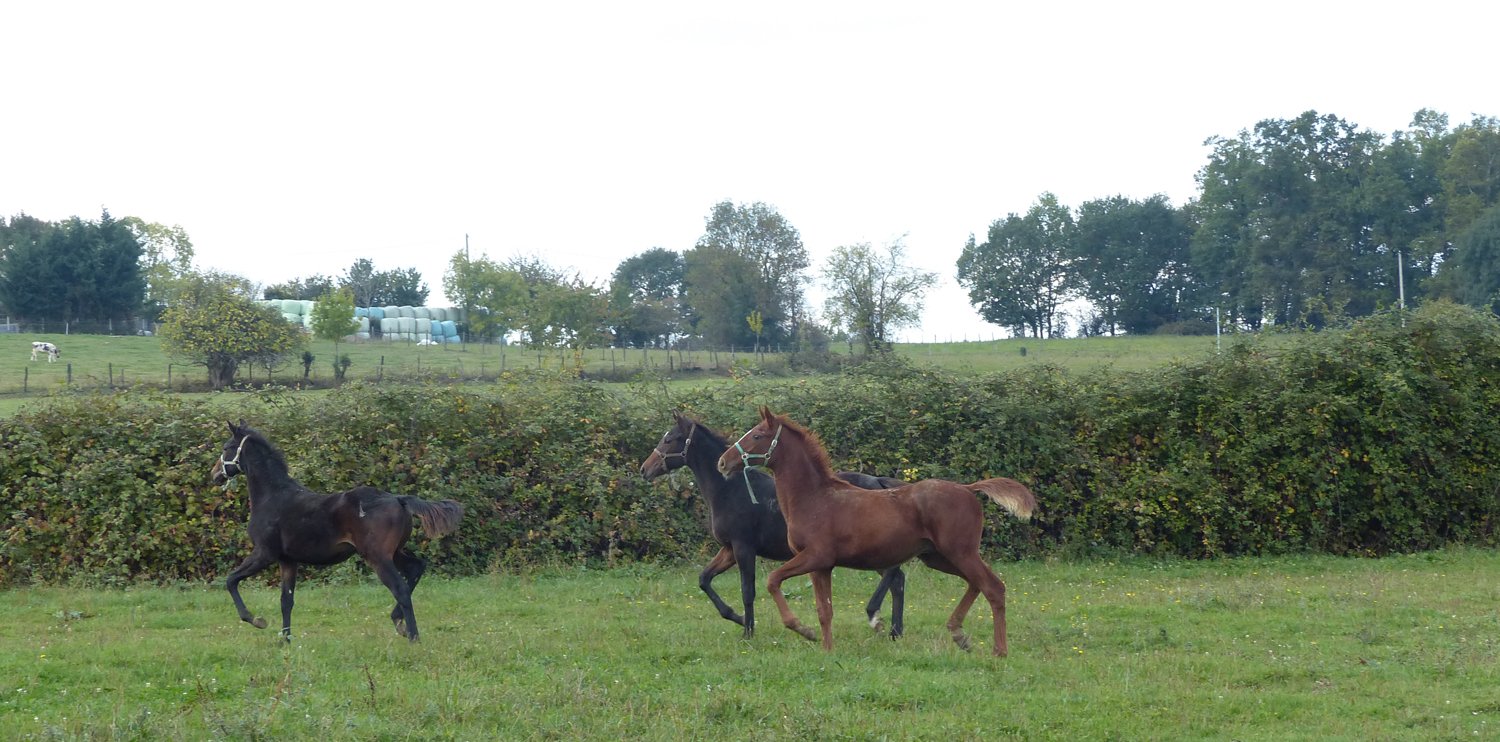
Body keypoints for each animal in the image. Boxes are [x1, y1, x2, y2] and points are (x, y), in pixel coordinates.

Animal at [210, 420, 464, 642]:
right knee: (416, 568)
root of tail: (399, 499)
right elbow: (286, 601)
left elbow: (231, 580)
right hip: (394, 553)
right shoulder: (287, 560)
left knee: (400, 589)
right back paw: (398, 621)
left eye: (226, 447)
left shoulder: (265, 553)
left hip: (377, 557)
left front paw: (256, 620)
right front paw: (285, 641)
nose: (215, 474)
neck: (273, 496)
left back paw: (412, 636)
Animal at [640, 411, 909, 638]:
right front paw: (738, 618)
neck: (730, 490)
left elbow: (747, 590)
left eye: (669, 439)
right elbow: (704, 579)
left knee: (894, 575)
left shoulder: (743, 547)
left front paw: (748, 632)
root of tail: (879, 482)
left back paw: (876, 617)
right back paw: (895, 631)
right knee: (898, 580)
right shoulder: (729, 549)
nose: (645, 469)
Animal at [716, 407, 1037, 656]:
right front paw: (827, 649)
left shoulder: (815, 556)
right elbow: (825, 610)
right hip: (938, 557)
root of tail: (968, 489)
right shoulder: (822, 566)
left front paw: (802, 629)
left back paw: (998, 650)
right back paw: (959, 634)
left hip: (960, 552)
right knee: (976, 583)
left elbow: (773, 580)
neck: (814, 498)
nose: (723, 462)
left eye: (757, 435)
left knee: (993, 587)